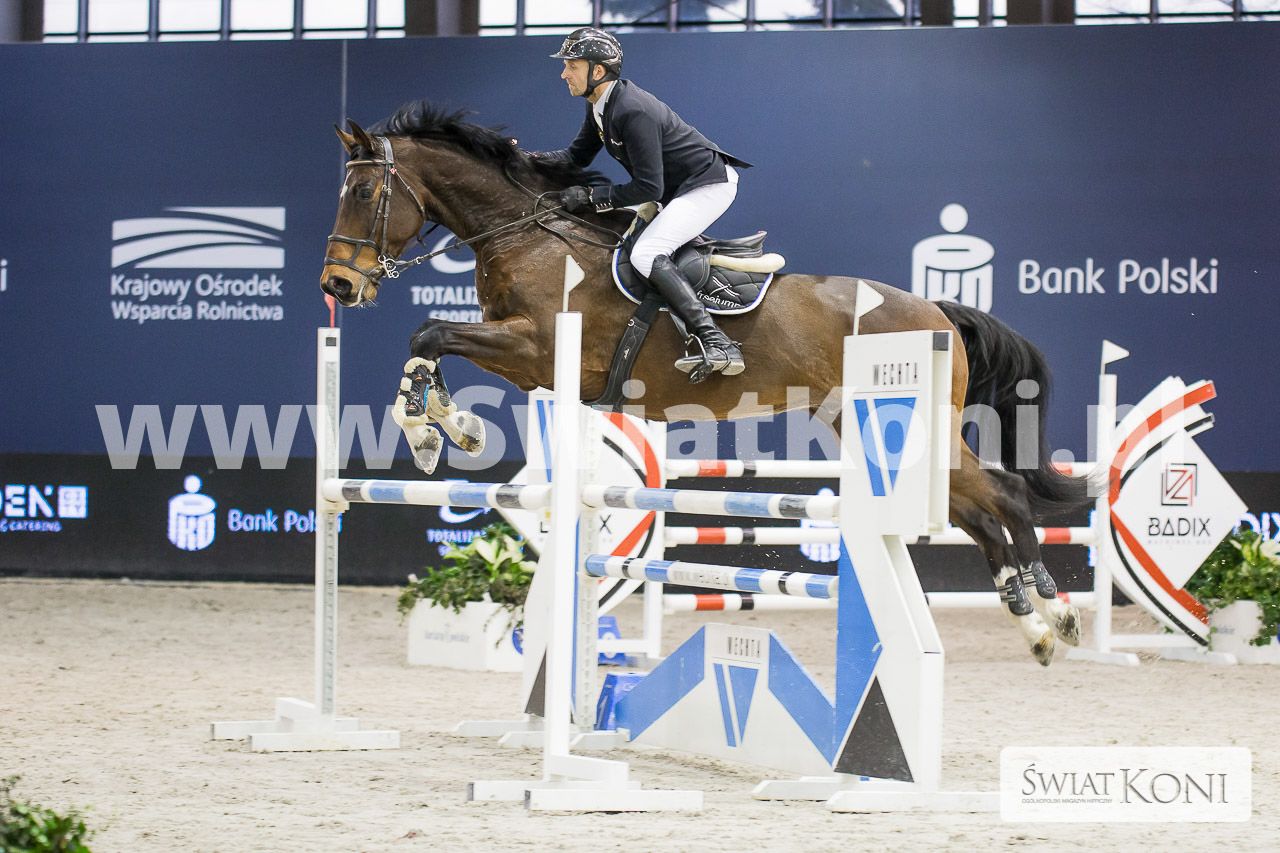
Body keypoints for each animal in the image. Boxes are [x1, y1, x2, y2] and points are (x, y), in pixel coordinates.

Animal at [320, 102, 1089, 666]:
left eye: (363, 191)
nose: (338, 286)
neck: (528, 235)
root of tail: (937, 309)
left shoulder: (538, 348)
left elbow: (430, 332)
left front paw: (440, 428)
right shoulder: (526, 355)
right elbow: (428, 339)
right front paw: (441, 426)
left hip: (914, 427)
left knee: (1005, 497)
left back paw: (1057, 614)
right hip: (874, 431)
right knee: (977, 512)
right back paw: (1032, 625)